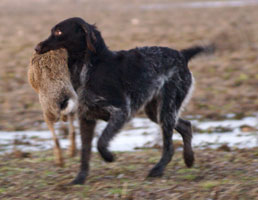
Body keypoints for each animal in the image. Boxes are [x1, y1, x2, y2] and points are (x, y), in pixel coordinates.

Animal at [34, 17, 214, 184]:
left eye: (58, 32)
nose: (37, 47)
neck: (88, 67)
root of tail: (182, 55)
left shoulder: (121, 111)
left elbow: (101, 141)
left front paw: (108, 157)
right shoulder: (86, 118)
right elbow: (85, 153)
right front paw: (80, 178)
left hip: (167, 109)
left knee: (169, 147)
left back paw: (158, 169)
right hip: (156, 112)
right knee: (186, 126)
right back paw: (189, 158)